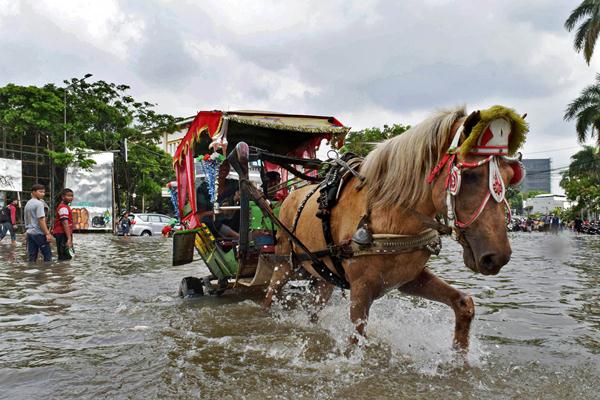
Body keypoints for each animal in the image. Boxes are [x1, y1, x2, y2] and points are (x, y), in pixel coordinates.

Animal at [260, 105, 528, 350]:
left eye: (510, 176)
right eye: (470, 176)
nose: (497, 256)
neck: (389, 215)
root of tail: (289, 195)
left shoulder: (409, 278)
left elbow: (464, 304)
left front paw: (459, 359)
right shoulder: (361, 290)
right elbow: (356, 337)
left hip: (323, 274)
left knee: (315, 307)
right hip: (284, 263)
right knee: (269, 297)